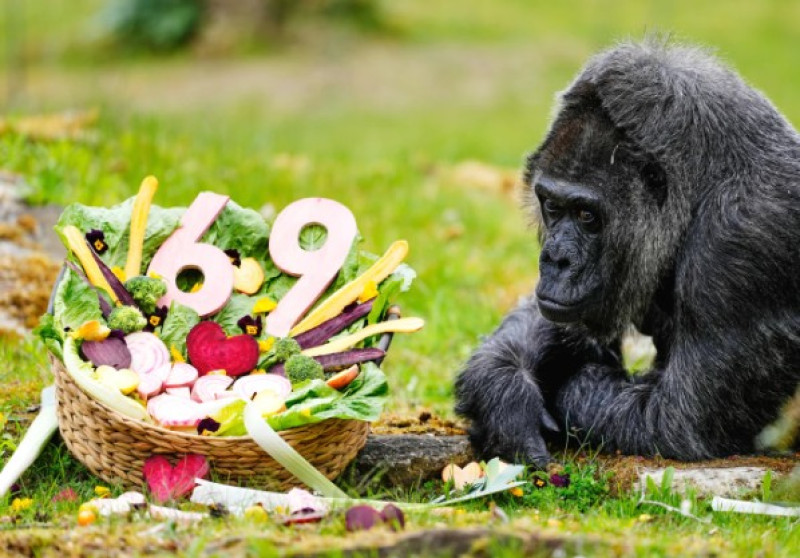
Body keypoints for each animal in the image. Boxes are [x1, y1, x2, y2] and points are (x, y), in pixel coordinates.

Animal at [454, 40, 800, 466]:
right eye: (552, 206)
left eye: (587, 215)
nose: (555, 260)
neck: (703, 188)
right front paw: (504, 393)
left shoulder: (744, 244)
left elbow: (675, 421)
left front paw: (566, 388)